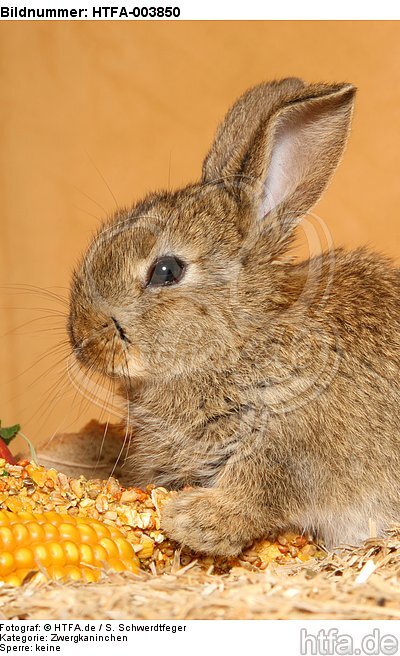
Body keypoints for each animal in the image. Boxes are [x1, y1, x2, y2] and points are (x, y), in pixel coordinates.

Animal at [68, 78, 400, 556]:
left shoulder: (289, 442)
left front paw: (191, 520)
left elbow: (257, 492)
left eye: (166, 271)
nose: (81, 338)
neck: (242, 335)